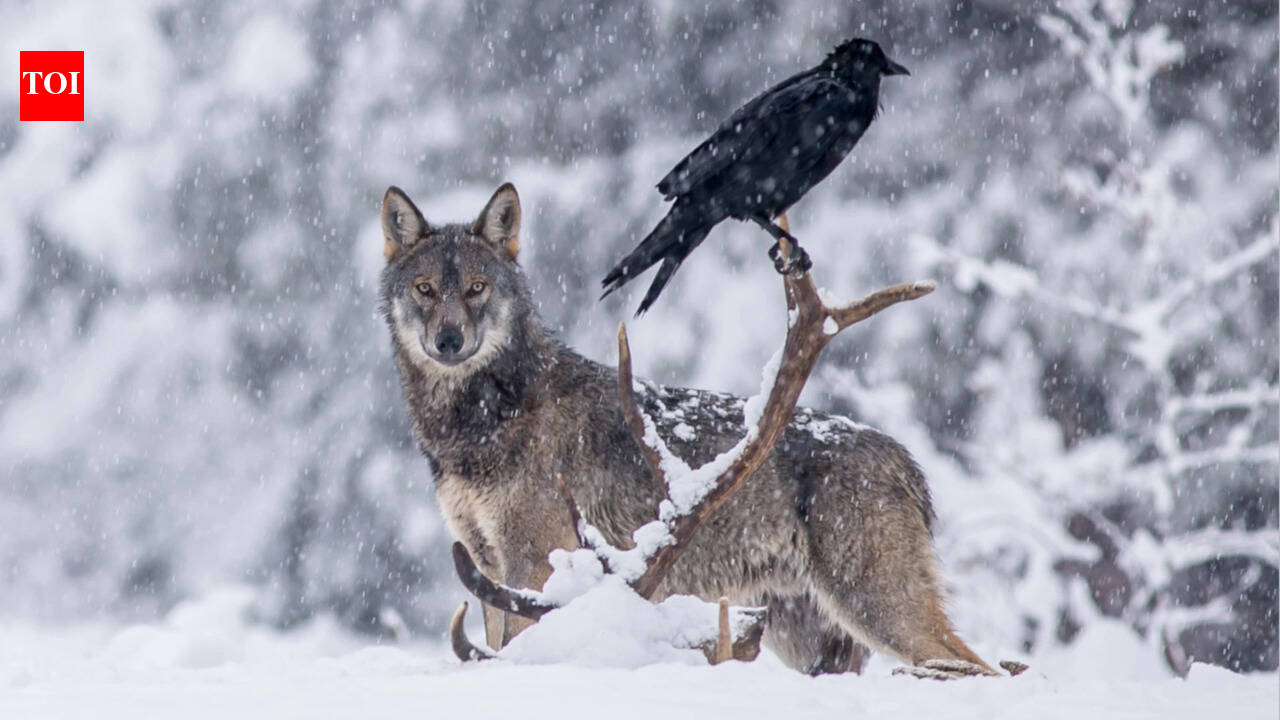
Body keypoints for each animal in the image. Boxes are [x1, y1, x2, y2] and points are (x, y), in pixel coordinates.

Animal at [379, 182, 991, 674]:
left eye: (477, 287)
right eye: (425, 289)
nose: (449, 341)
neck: (473, 432)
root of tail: (906, 462)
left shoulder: (534, 559)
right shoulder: (482, 556)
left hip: (874, 604)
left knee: (979, 665)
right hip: (800, 627)